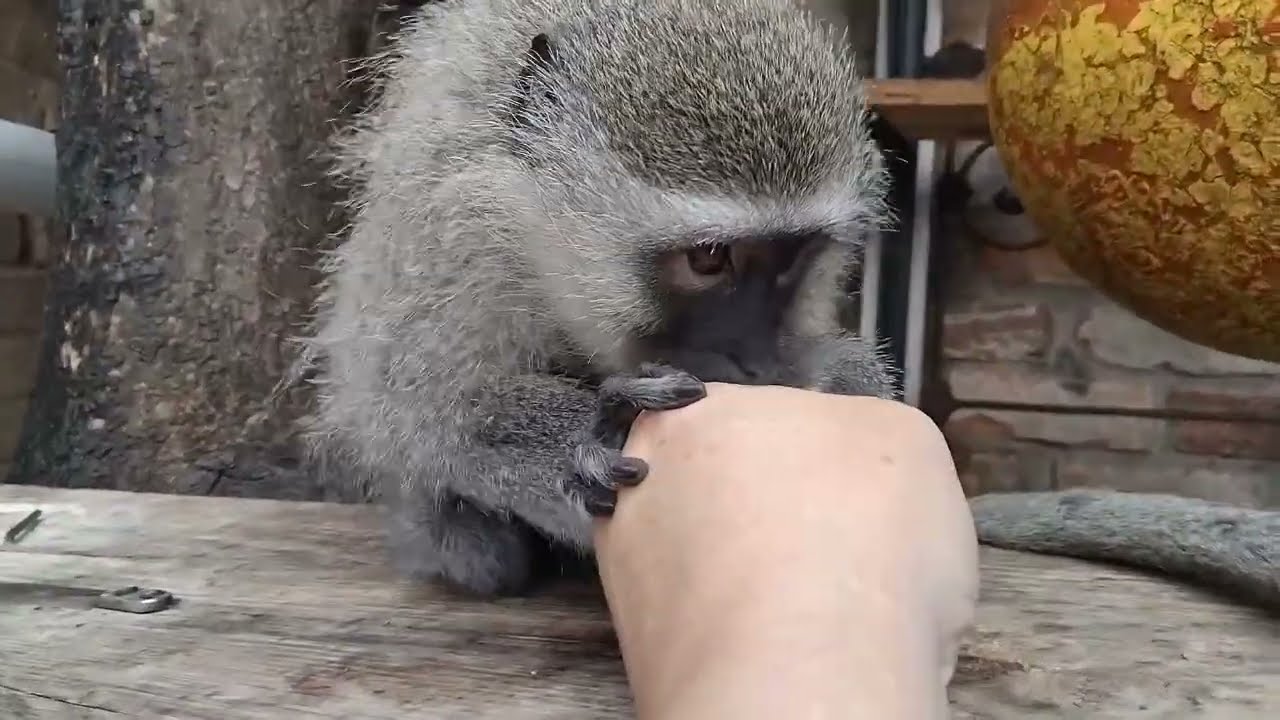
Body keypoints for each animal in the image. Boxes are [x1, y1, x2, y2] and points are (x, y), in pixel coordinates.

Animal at [300, 0, 898, 597]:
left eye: (792, 257)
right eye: (707, 259)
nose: (757, 364)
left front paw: (844, 379)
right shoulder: (455, 228)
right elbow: (422, 407)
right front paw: (593, 432)